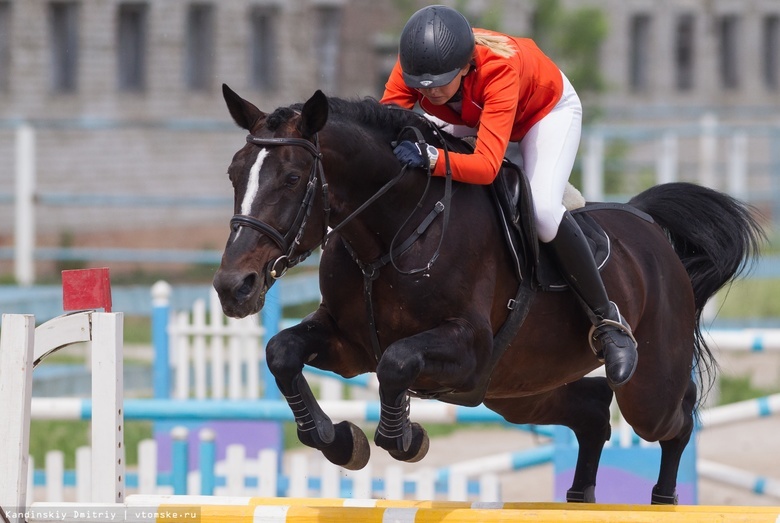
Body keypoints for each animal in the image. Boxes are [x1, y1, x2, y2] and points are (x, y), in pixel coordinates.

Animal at [212, 84, 760, 506]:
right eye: (234, 173)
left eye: (292, 177)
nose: (233, 288)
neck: (394, 232)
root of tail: (646, 225)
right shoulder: (349, 345)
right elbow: (282, 351)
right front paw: (340, 441)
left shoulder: (467, 347)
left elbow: (396, 363)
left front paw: (406, 439)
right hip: (520, 390)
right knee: (592, 413)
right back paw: (580, 497)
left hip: (644, 389)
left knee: (676, 418)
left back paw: (662, 497)